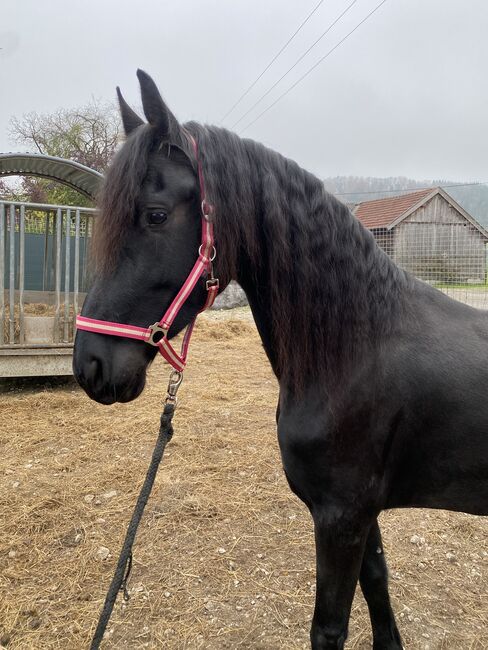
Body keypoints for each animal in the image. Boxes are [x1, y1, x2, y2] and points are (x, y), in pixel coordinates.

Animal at [73, 71, 488, 648]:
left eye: (155, 216)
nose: (90, 365)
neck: (356, 349)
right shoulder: (361, 514)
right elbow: (378, 588)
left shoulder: (340, 516)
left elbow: (329, 627)